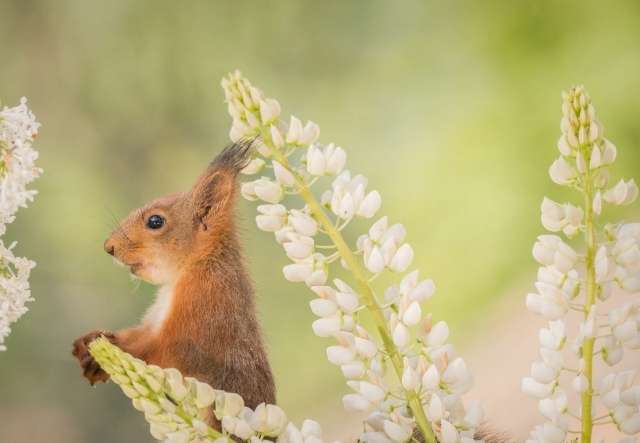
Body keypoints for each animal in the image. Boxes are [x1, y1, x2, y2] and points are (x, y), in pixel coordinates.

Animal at [70, 142, 276, 410]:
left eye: (155, 221)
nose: (109, 247)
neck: (193, 267)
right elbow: (140, 333)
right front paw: (92, 340)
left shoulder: (203, 310)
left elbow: (158, 350)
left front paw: (110, 351)